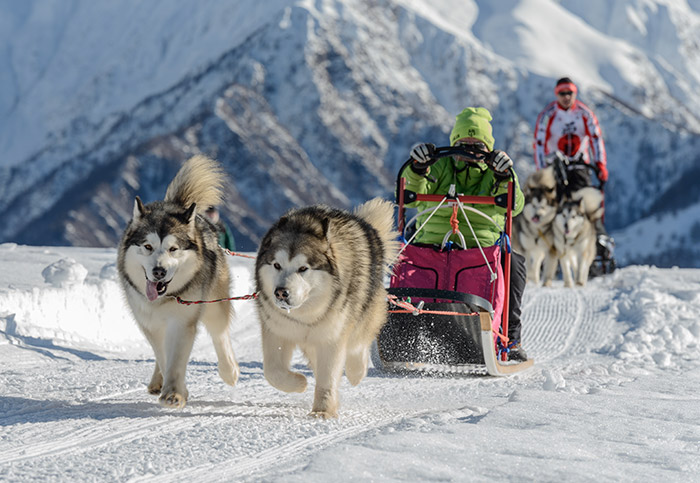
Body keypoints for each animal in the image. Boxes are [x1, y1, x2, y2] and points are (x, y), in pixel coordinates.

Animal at [256, 199, 400, 418]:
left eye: (303, 268)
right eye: (277, 265)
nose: (281, 293)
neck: (306, 315)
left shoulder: (332, 337)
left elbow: (328, 378)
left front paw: (322, 412)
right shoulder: (277, 331)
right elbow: (272, 371)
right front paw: (300, 383)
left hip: (361, 314)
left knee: (358, 344)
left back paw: (356, 372)